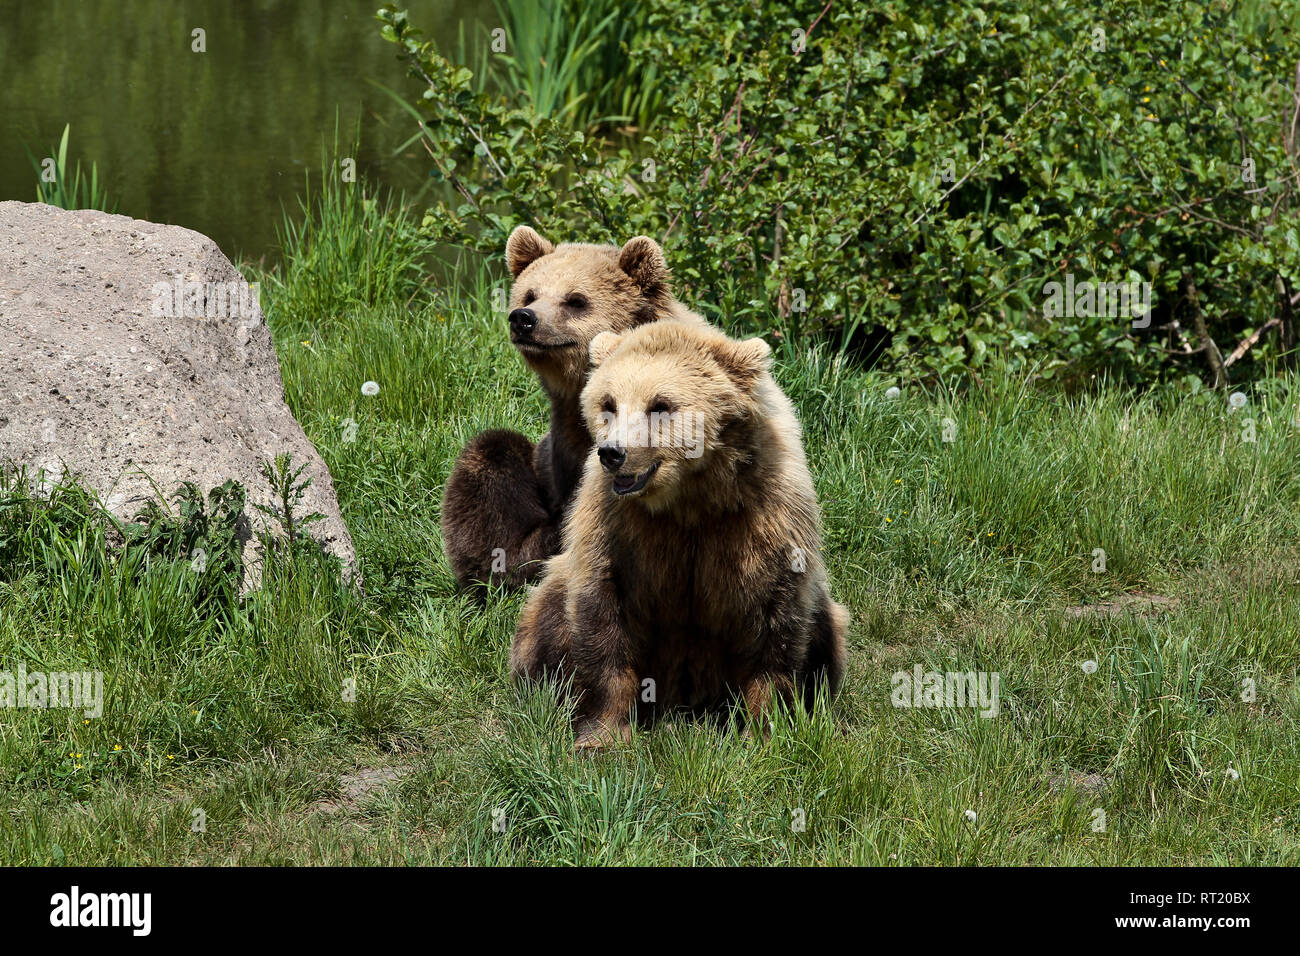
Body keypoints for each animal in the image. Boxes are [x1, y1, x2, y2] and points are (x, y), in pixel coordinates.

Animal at [510, 319, 849, 748]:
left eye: (660, 405)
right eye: (608, 404)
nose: (612, 453)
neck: (690, 497)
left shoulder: (764, 520)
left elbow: (774, 621)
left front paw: (764, 731)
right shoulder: (616, 526)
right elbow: (603, 614)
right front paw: (602, 736)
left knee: (824, 630)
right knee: (548, 615)